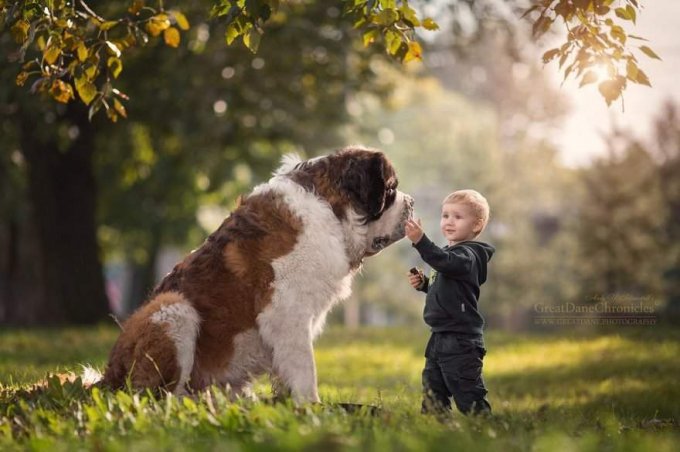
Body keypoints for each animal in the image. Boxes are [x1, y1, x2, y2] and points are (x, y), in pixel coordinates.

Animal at [103, 147, 412, 404]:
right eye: (391, 189)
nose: (411, 202)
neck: (330, 208)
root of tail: (107, 378)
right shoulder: (287, 313)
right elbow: (305, 367)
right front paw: (312, 410)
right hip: (173, 308)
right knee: (159, 397)